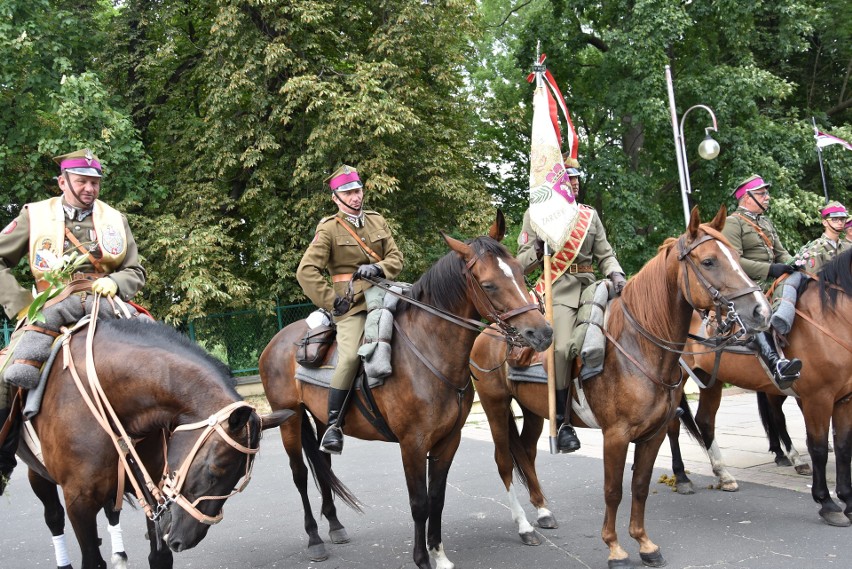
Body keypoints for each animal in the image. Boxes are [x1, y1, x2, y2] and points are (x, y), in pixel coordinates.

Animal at [14, 316, 290, 568]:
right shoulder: (78, 502)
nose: (183, 540)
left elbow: (159, 556)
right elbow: (92, 559)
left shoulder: (154, 484)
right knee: (54, 516)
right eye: (214, 471)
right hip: (38, 474)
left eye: (238, 479)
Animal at [258, 212, 552, 568]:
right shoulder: (412, 443)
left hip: (320, 419)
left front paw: (439, 554)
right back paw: (315, 539)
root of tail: (278, 340)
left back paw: (335, 525)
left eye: (521, 273)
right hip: (288, 419)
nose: (542, 333)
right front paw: (422, 558)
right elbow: (419, 503)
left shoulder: (448, 440)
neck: (429, 351)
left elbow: (437, 498)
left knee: (323, 465)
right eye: (489, 284)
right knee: (300, 474)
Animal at [470, 207, 776, 568]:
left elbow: (640, 485)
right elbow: (613, 489)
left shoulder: (654, 433)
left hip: (533, 411)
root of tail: (490, 331)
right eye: (709, 261)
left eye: (735, 257)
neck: (641, 345)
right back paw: (525, 526)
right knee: (504, 459)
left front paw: (644, 543)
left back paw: (543, 511)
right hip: (494, 406)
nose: (760, 311)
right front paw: (615, 548)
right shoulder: (615, 435)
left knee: (528, 453)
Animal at [672, 246, 852, 524]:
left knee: (705, 420)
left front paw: (847, 500)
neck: (832, 318)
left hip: (712, 380)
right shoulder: (818, 399)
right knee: (671, 426)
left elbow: (843, 447)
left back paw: (724, 475)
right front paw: (827, 503)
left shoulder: (844, 398)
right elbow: (819, 448)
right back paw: (682, 477)